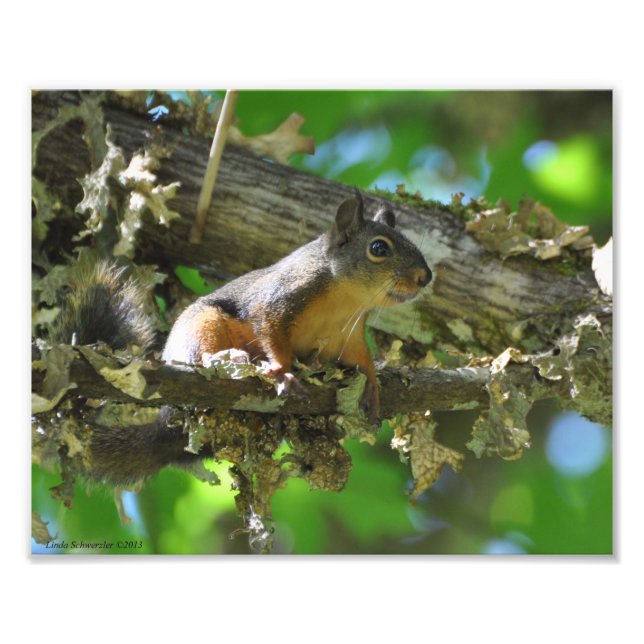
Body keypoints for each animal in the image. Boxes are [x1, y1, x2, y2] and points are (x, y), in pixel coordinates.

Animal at [49, 191, 431, 485]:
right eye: (379, 248)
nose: (425, 277)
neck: (346, 300)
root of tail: (169, 423)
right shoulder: (279, 299)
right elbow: (270, 328)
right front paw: (283, 370)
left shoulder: (349, 337)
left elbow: (362, 360)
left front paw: (373, 385)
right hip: (202, 325)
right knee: (201, 354)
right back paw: (229, 359)